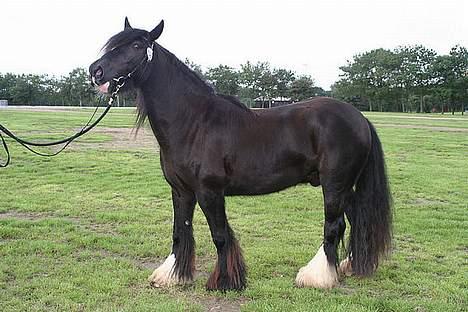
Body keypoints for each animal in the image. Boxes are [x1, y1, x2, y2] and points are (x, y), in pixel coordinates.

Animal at [89, 18, 394, 292]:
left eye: (137, 45)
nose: (96, 71)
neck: (193, 122)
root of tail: (359, 118)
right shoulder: (181, 191)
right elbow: (180, 232)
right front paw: (173, 276)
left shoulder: (209, 192)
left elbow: (220, 236)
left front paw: (225, 282)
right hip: (343, 188)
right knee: (356, 219)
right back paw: (348, 267)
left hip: (334, 184)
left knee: (334, 225)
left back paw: (316, 277)